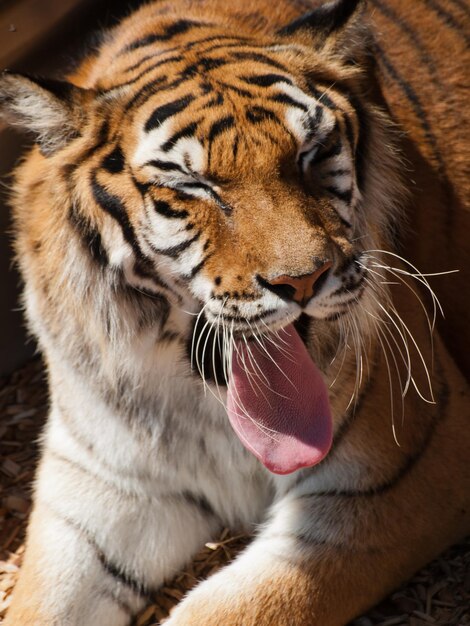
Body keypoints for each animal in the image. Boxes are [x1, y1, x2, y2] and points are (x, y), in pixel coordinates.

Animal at [0, 0, 470, 620]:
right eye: (192, 184)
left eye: (311, 155)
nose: (303, 279)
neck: (205, 408)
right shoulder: (102, 487)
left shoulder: (403, 468)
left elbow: (231, 609)